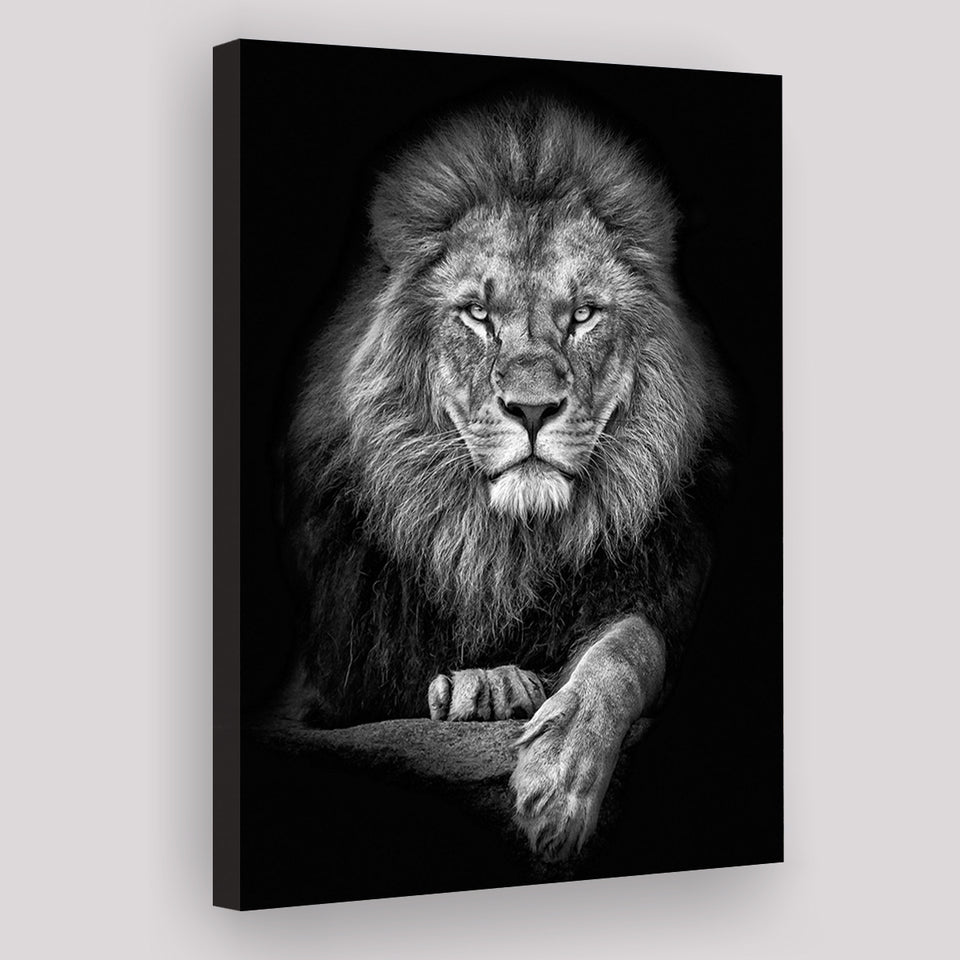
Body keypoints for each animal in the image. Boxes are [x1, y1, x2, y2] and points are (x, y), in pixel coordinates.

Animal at [279, 95, 734, 861]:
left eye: (582, 315)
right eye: (477, 315)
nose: (532, 408)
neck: (505, 548)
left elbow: (629, 646)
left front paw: (560, 777)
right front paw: (485, 688)